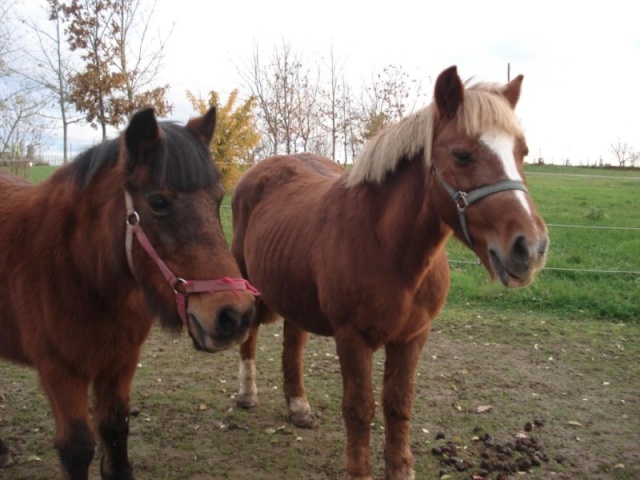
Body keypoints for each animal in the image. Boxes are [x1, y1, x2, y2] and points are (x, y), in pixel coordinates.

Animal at [1, 109, 260, 480]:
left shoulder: (120, 362)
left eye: (218, 198)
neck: (82, 273)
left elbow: (114, 430)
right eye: (158, 202)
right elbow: (76, 448)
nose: (236, 314)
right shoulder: (60, 371)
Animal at [232, 65, 548, 478]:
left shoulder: (412, 336)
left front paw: (400, 468)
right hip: (250, 284)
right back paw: (246, 393)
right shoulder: (352, 338)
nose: (530, 248)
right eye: (461, 154)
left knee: (293, 342)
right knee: (250, 335)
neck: (389, 250)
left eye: (521, 152)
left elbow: (398, 406)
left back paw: (298, 406)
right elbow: (359, 409)